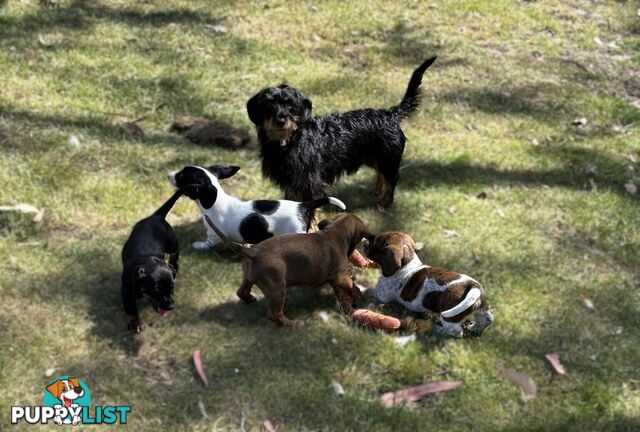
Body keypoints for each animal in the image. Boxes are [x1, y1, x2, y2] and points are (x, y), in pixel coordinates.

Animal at [120, 191, 181, 332]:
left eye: (172, 288)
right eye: (156, 290)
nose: (171, 307)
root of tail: (156, 216)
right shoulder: (127, 294)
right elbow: (132, 310)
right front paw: (136, 323)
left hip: (172, 243)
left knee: (175, 252)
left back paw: (174, 264)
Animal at [165, 165, 344, 250]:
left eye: (181, 176)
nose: (169, 174)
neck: (214, 201)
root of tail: (302, 206)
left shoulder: (214, 234)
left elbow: (208, 243)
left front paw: (199, 246)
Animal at [205, 211, 372, 326]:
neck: (335, 231)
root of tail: (253, 251)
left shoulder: (334, 280)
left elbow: (343, 292)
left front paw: (346, 305)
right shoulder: (341, 277)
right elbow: (353, 286)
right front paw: (358, 298)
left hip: (249, 277)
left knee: (241, 292)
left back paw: (251, 299)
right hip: (277, 288)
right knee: (274, 314)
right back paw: (292, 324)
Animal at [248, 56, 438, 209]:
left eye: (290, 105)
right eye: (268, 105)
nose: (280, 121)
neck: (289, 142)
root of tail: (391, 114)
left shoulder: (309, 183)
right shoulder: (292, 183)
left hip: (388, 159)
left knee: (392, 179)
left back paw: (385, 201)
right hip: (376, 158)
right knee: (382, 176)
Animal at [362, 233, 492, 338]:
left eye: (376, 244)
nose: (365, 242)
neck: (408, 264)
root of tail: (473, 286)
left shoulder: (381, 294)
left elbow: (366, 290)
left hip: (450, 318)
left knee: (456, 332)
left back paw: (438, 329)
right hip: (480, 309)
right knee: (487, 319)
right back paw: (474, 328)